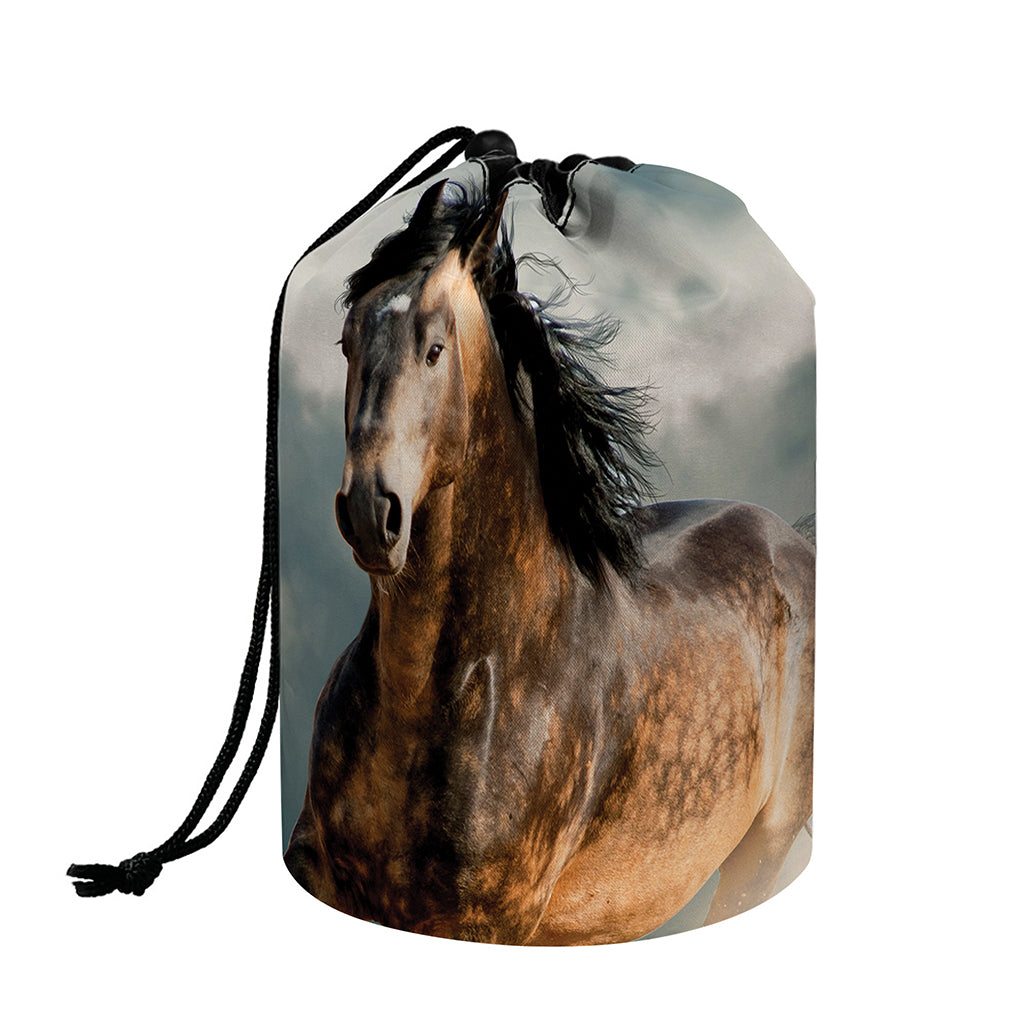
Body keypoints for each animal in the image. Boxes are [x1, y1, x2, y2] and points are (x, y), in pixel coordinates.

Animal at [284, 180, 815, 944]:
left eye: (435, 348)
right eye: (347, 341)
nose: (368, 513)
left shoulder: (489, 919)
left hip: (761, 855)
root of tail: (793, 542)